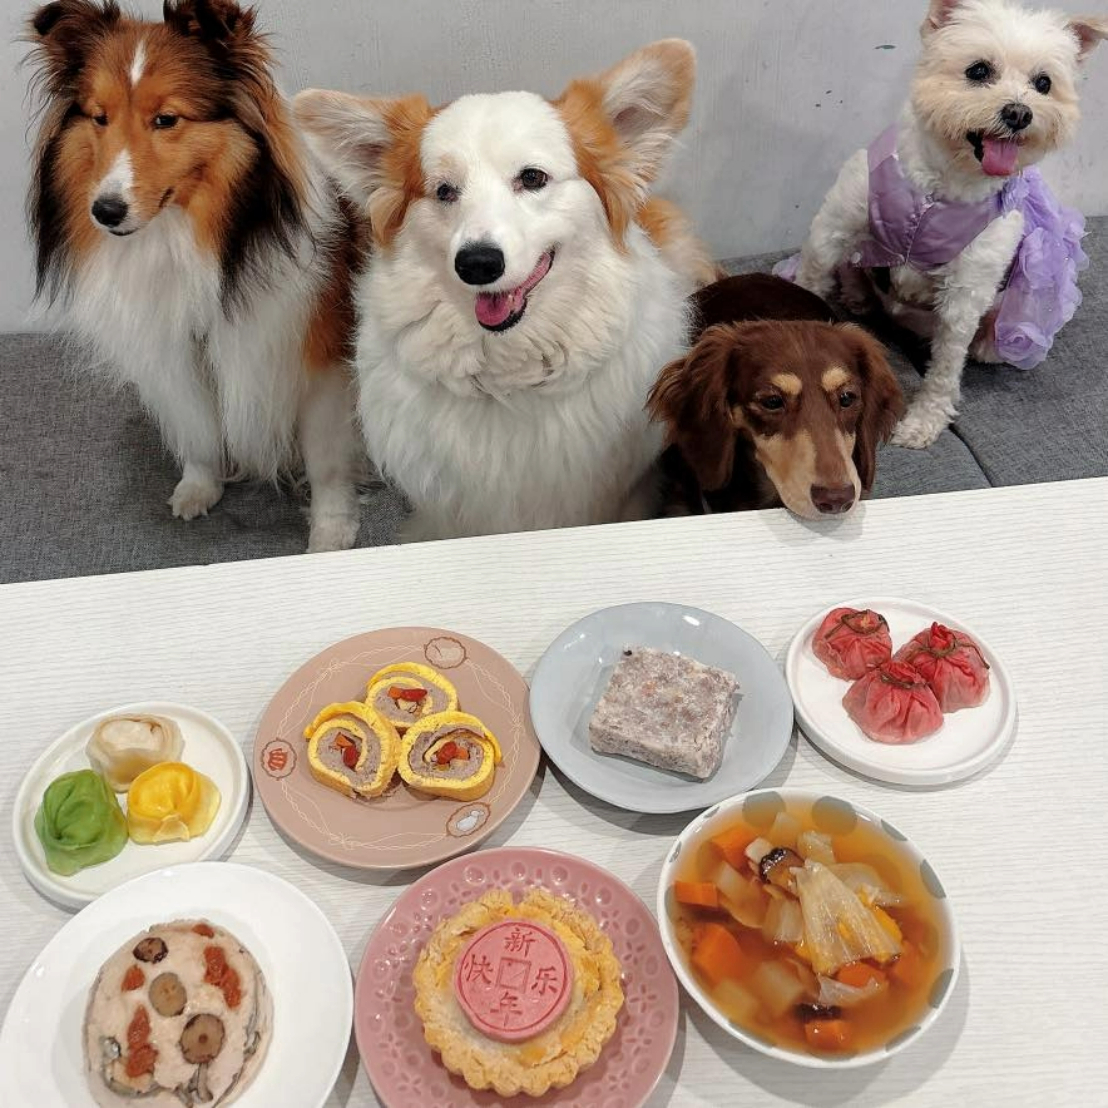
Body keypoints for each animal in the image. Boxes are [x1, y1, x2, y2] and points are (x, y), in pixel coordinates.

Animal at [27, 0, 365, 551]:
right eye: (99, 118)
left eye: (166, 119)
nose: (105, 211)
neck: (180, 240)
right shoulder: (174, 353)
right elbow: (197, 427)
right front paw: (199, 487)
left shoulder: (318, 364)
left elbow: (326, 461)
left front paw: (331, 531)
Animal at [786, 0, 1106, 448]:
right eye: (978, 70)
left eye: (1043, 83)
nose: (1019, 112)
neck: (938, 191)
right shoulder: (833, 228)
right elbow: (810, 280)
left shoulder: (967, 290)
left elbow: (947, 363)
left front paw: (924, 420)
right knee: (854, 268)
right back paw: (858, 294)